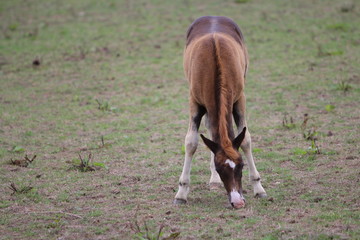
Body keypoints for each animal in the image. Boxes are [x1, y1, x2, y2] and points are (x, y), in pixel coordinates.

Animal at [174, 16, 268, 208]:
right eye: (220, 168)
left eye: (241, 165)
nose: (237, 202)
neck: (215, 63)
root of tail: (213, 17)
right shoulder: (194, 102)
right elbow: (191, 142)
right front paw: (181, 192)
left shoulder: (239, 99)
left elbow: (245, 139)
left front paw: (258, 188)